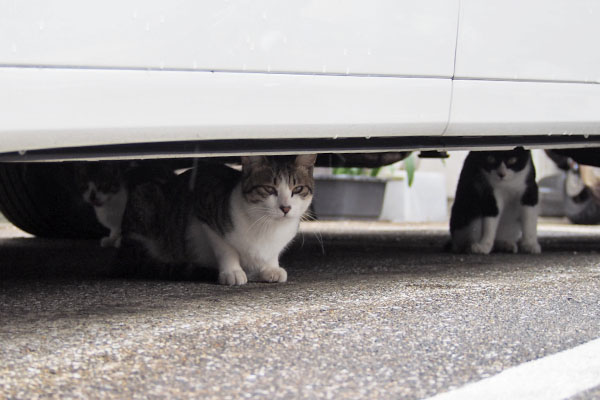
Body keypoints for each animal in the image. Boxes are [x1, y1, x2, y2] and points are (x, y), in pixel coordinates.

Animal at [123, 153, 318, 284]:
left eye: (298, 189)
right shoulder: (204, 212)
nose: (285, 208)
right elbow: (226, 249)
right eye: (269, 189)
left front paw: (270, 267)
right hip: (145, 199)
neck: (266, 225)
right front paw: (232, 272)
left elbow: (272, 254)